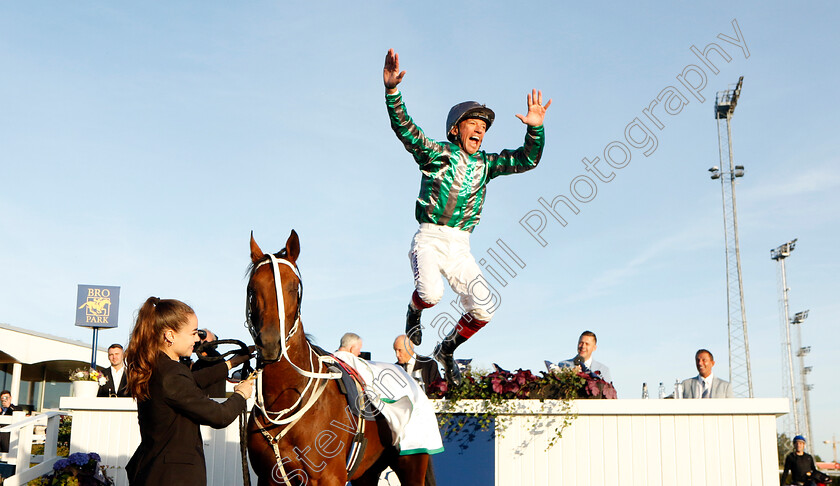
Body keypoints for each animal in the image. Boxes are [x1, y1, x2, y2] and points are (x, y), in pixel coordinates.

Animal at [243, 232, 426, 486]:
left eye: (293, 287)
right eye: (252, 288)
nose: (270, 343)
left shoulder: (329, 477)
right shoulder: (269, 478)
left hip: (413, 464)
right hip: (367, 474)